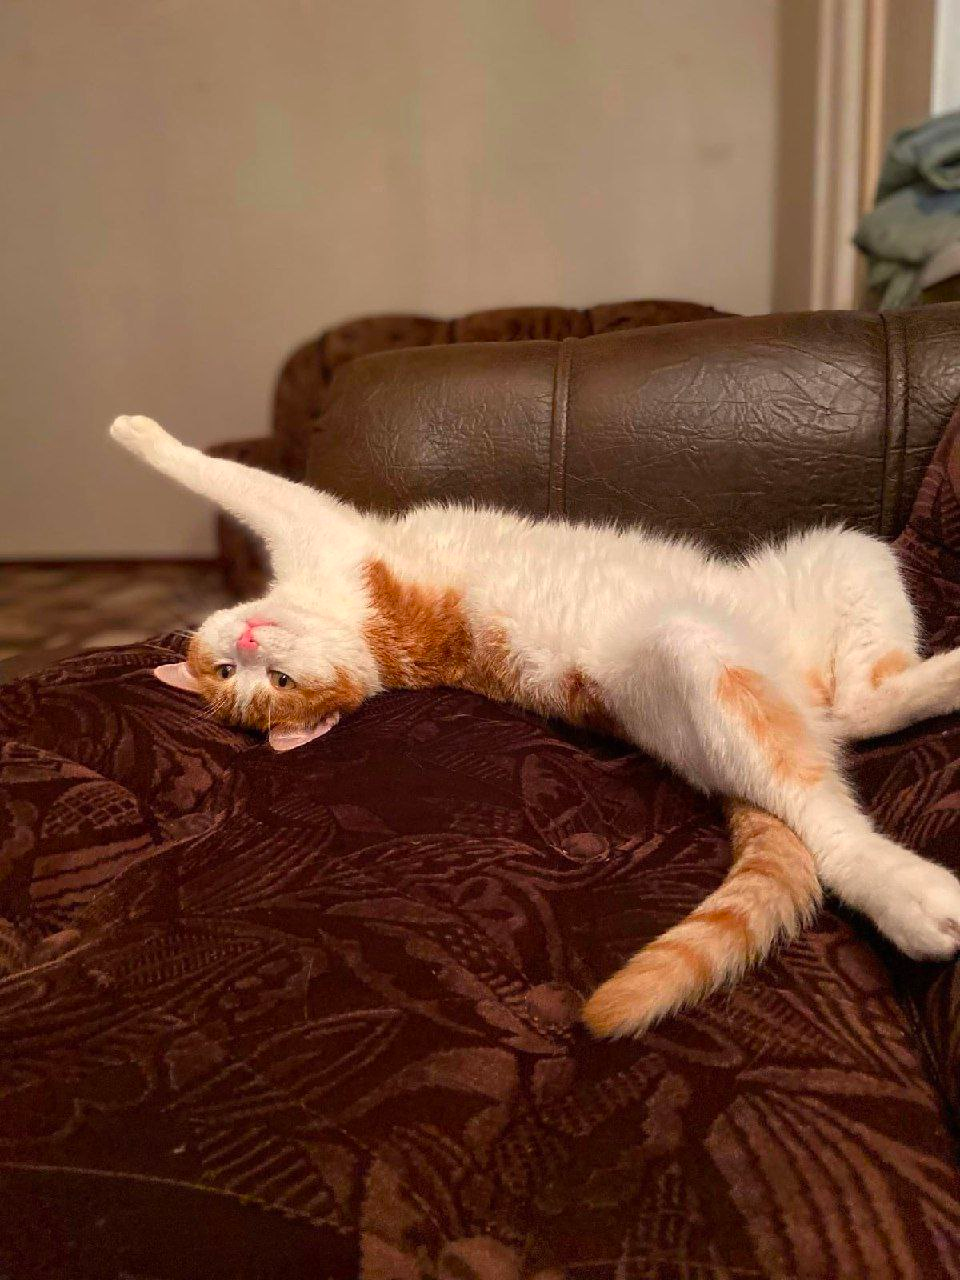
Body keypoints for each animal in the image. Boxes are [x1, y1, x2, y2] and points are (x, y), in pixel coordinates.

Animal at [110, 413, 960, 1038]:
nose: (251, 646)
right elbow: (230, 477)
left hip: (844, 553)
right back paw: (910, 892)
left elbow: (238, 483)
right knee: (827, 805)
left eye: (249, 677)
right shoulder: (321, 526)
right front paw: (133, 429)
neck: (364, 640)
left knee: (863, 699)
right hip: (699, 658)